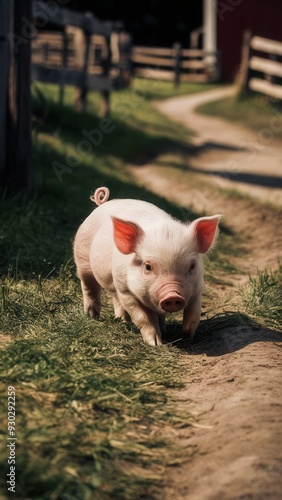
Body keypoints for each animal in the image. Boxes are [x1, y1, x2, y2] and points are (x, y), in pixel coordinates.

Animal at [74, 186, 221, 346]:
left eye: (192, 266)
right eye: (148, 267)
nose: (173, 295)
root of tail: (104, 203)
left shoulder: (198, 286)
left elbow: (194, 311)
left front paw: (188, 334)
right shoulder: (125, 290)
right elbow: (143, 317)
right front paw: (155, 343)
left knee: (115, 297)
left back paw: (125, 321)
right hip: (82, 258)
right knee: (89, 286)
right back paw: (92, 316)